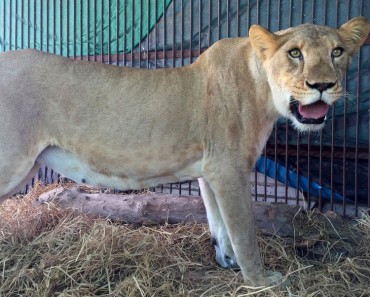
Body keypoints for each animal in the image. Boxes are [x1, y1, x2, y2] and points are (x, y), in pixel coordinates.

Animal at [0, 16, 368, 284]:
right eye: (295, 53)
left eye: (337, 52)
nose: (322, 85)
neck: (262, 89)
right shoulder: (229, 169)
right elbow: (244, 230)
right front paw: (260, 280)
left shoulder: (209, 171)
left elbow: (218, 221)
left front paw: (226, 261)